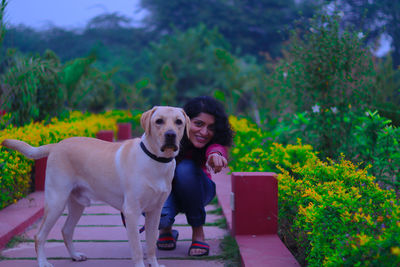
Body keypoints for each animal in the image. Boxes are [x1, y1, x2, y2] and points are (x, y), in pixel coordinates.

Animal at [1, 106, 189, 267]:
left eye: (179, 122)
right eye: (159, 121)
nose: (171, 135)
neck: (156, 160)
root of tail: (57, 145)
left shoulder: (155, 212)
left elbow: (150, 245)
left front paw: (154, 264)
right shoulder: (131, 211)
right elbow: (136, 249)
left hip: (77, 204)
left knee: (66, 230)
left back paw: (75, 256)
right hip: (56, 201)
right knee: (39, 235)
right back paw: (42, 262)